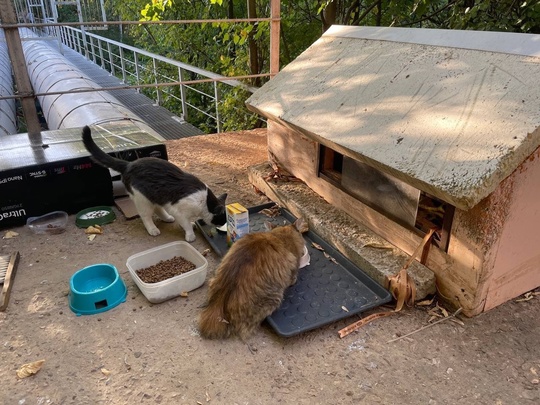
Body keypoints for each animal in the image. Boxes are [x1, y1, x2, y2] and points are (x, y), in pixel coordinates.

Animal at [82, 124, 228, 241]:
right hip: (142, 199)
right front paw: (190, 234)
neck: (204, 202)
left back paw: (167, 218)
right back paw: (152, 229)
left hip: (154, 195)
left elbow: (185, 222)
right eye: (222, 218)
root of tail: (129, 164)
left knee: (158, 208)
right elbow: (185, 224)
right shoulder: (179, 210)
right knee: (146, 216)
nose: (223, 223)